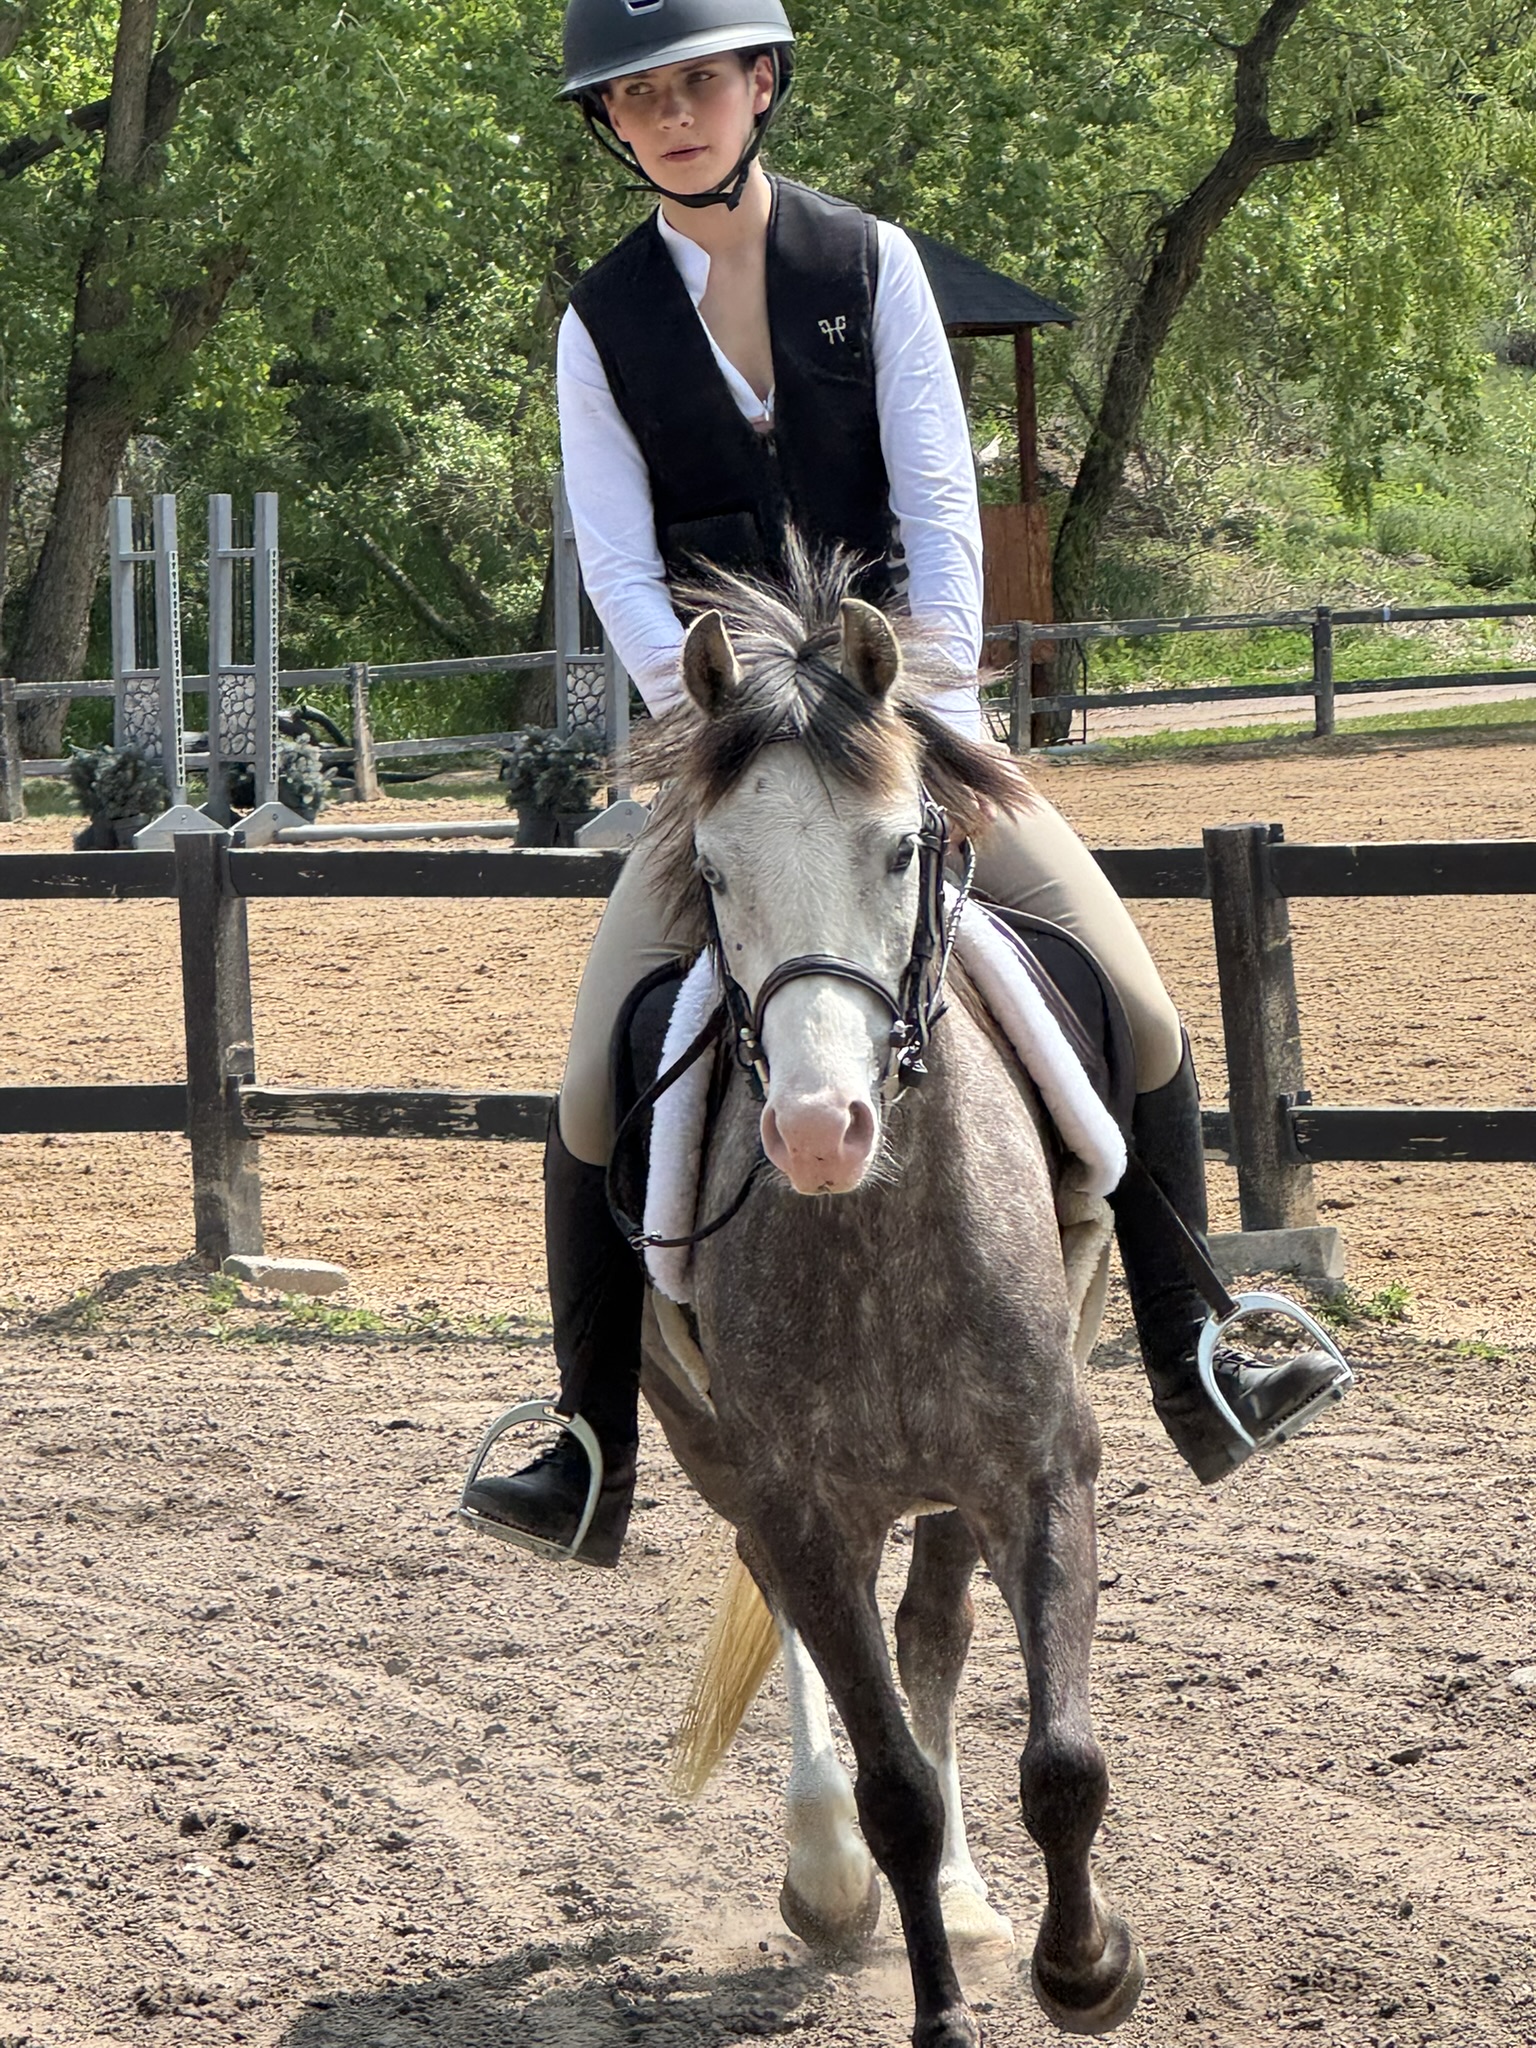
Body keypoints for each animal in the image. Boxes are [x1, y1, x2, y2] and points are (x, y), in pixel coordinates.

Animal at [622, 557, 1145, 2047]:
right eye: (714, 871)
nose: (817, 1132)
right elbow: (893, 1783)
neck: (881, 1243)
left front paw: (1083, 1966)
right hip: (733, 1464)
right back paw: (828, 1871)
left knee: (934, 1639)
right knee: (816, 1641)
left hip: (953, 1484)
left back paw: (969, 1899)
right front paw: (938, 2003)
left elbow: (1062, 1757)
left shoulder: (1038, 1468)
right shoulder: (801, 1501)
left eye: (904, 849)